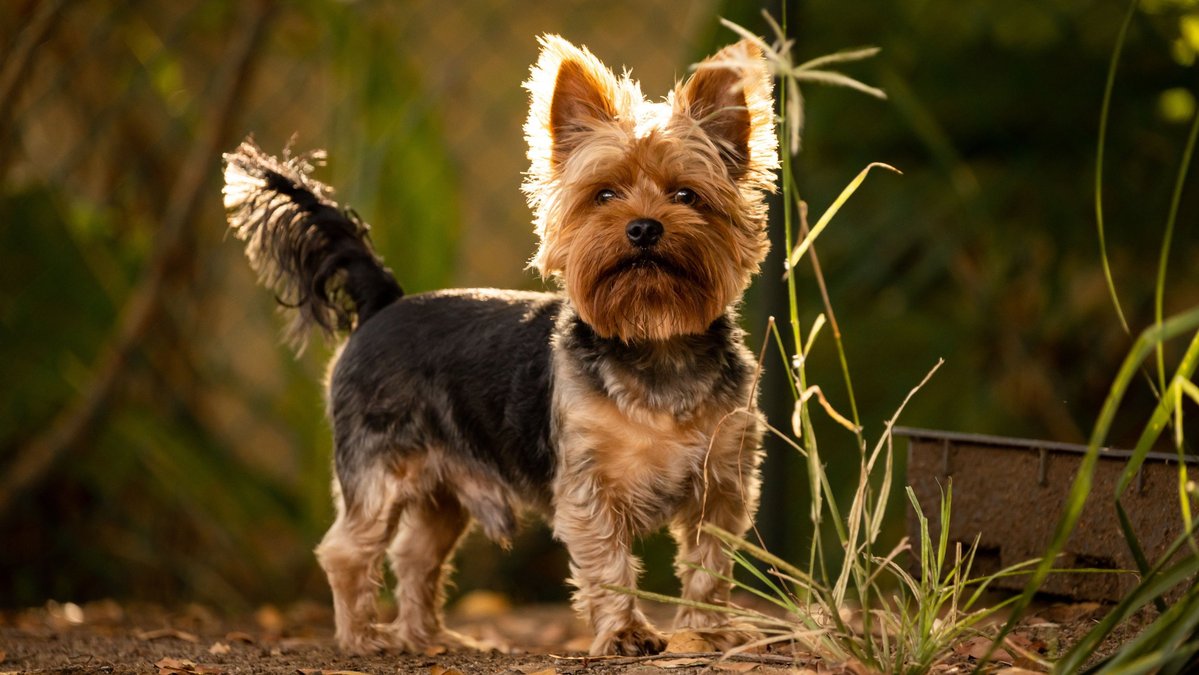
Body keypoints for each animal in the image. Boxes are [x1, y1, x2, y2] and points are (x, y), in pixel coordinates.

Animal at [223, 35, 776, 657]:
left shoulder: (722, 481)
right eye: (604, 194)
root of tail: (384, 302)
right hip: (379, 466)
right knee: (347, 549)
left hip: (442, 487)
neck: (656, 340)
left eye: (687, 194)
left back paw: (432, 638)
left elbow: (709, 563)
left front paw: (708, 632)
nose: (642, 228)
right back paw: (364, 638)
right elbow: (609, 565)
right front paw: (626, 634)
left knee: (415, 553)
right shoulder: (587, 488)